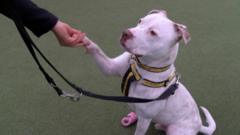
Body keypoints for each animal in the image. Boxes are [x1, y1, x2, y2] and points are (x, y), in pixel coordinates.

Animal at [81, 9, 217, 135]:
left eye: (153, 33)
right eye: (140, 21)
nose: (125, 33)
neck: (142, 69)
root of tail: (199, 126)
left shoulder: (144, 120)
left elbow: (138, 132)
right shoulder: (110, 67)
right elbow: (96, 49)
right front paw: (83, 39)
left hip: (176, 130)